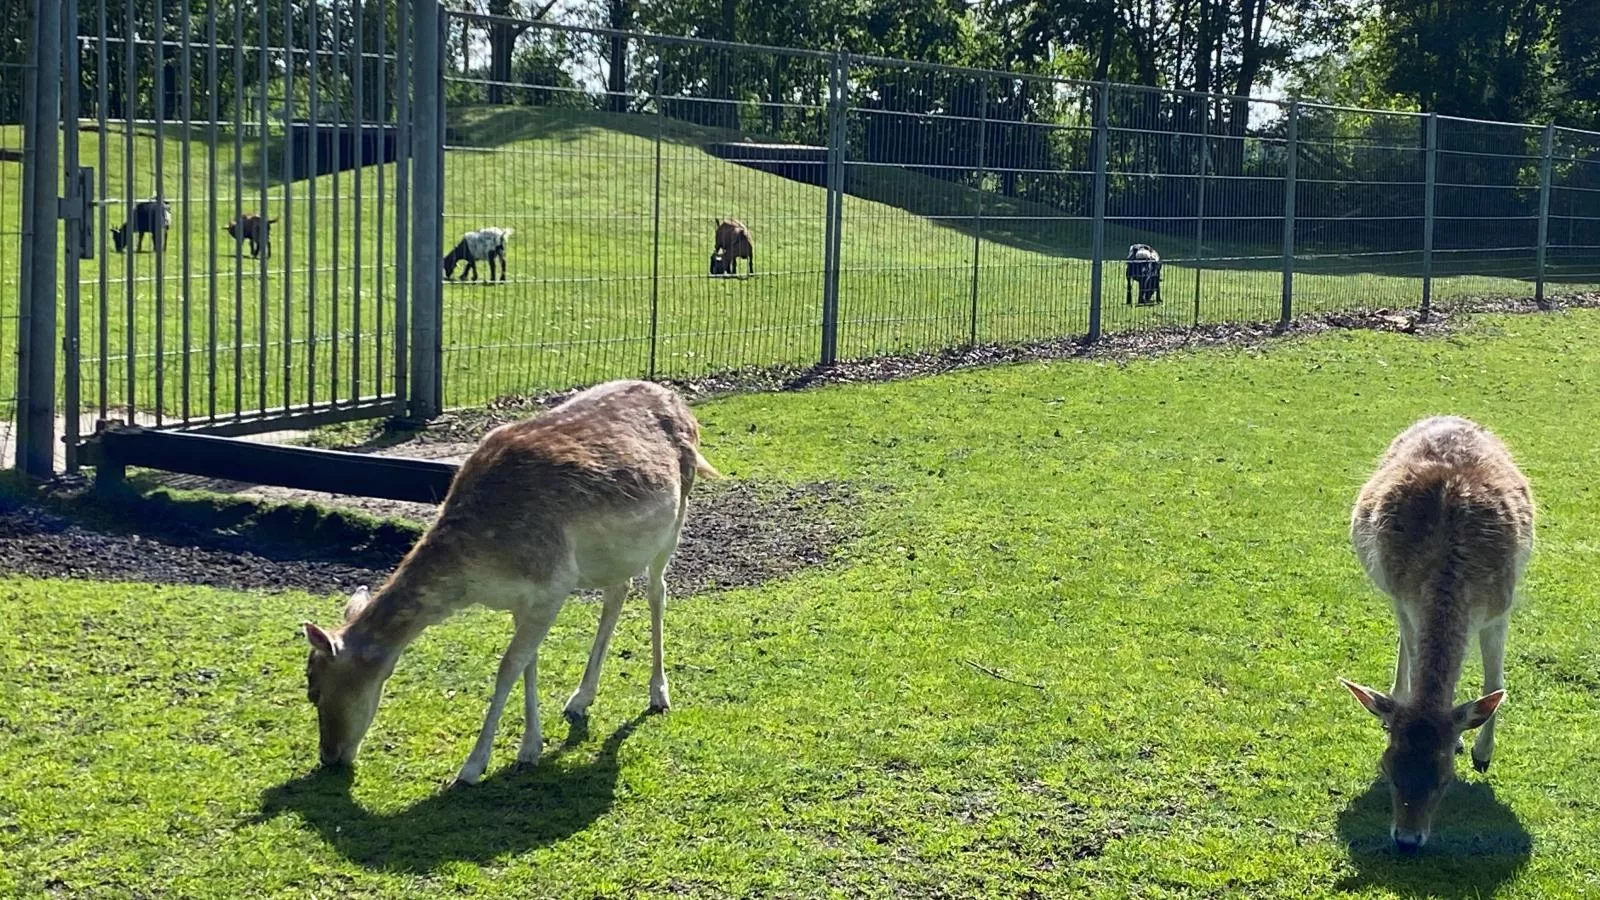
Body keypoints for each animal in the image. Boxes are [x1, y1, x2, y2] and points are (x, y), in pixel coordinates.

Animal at [299, 374, 720, 781]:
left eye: (314, 689)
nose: (329, 757)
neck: (478, 574)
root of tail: (680, 403)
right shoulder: (522, 599)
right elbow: (527, 664)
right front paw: (530, 748)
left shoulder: (554, 582)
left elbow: (507, 667)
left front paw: (472, 766)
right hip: (614, 554)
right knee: (618, 591)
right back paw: (580, 698)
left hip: (676, 516)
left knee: (656, 590)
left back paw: (658, 693)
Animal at [1337, 413, 1536, 845]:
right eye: (1388, 769)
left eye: (1443, 780)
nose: (1407, 840)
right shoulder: (1407, 596)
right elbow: (1415, 659)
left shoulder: (1499, 607)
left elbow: (1495, 682)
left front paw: (1480, 752)